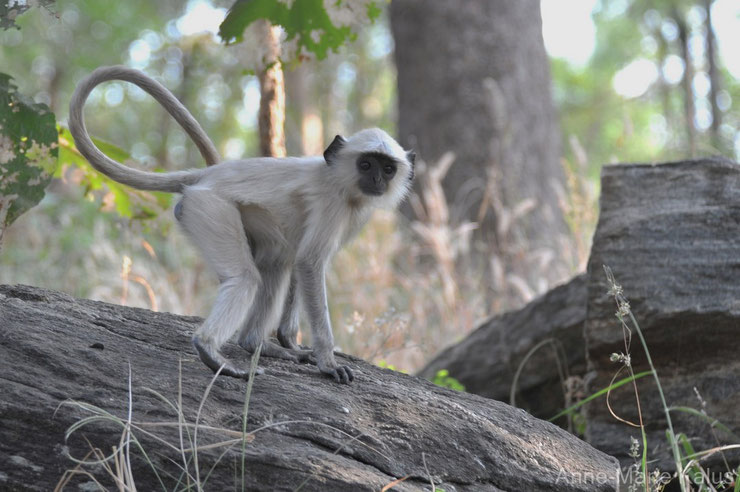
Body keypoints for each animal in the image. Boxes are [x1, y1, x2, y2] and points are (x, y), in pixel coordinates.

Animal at [68, 65, 416, 384]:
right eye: (366, 164)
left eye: (387, 168)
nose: (376, 180)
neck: (337, 179)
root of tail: (206, 176)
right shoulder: (335, 204)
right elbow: (309, 262)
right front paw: (327, 361)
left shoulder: (356, 211)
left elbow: (298, 262)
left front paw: (289, 341)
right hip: (209, 210)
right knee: (247, 278)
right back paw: (210, 349)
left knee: (276, 261)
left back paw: (256, 343)